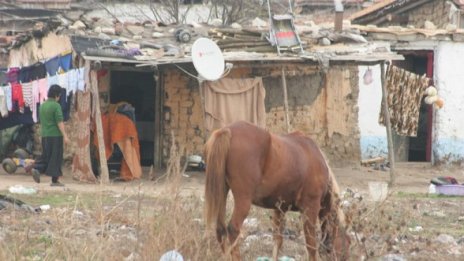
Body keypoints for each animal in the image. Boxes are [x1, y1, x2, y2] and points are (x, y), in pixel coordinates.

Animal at [205, 121, 350, 258]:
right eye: (346, 248)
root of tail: (227, 131)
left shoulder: (279, 209)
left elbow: (278, 241)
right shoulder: (311, 208)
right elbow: (311, 247)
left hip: (222, 193)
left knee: (220, 229)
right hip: (243, 200)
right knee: (233, 230)